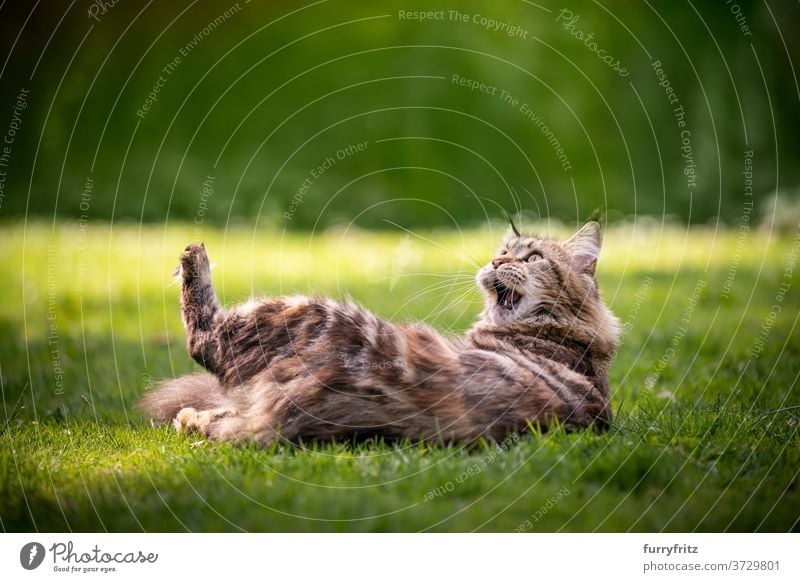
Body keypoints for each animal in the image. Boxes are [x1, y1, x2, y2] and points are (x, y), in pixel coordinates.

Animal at [141, 220, 620, 448]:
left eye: (532, 257)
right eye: (501, 252)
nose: (497, 263)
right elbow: (221, 413)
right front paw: (196, 418)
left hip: (310, 312)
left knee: (206, 340)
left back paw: (194, 257)